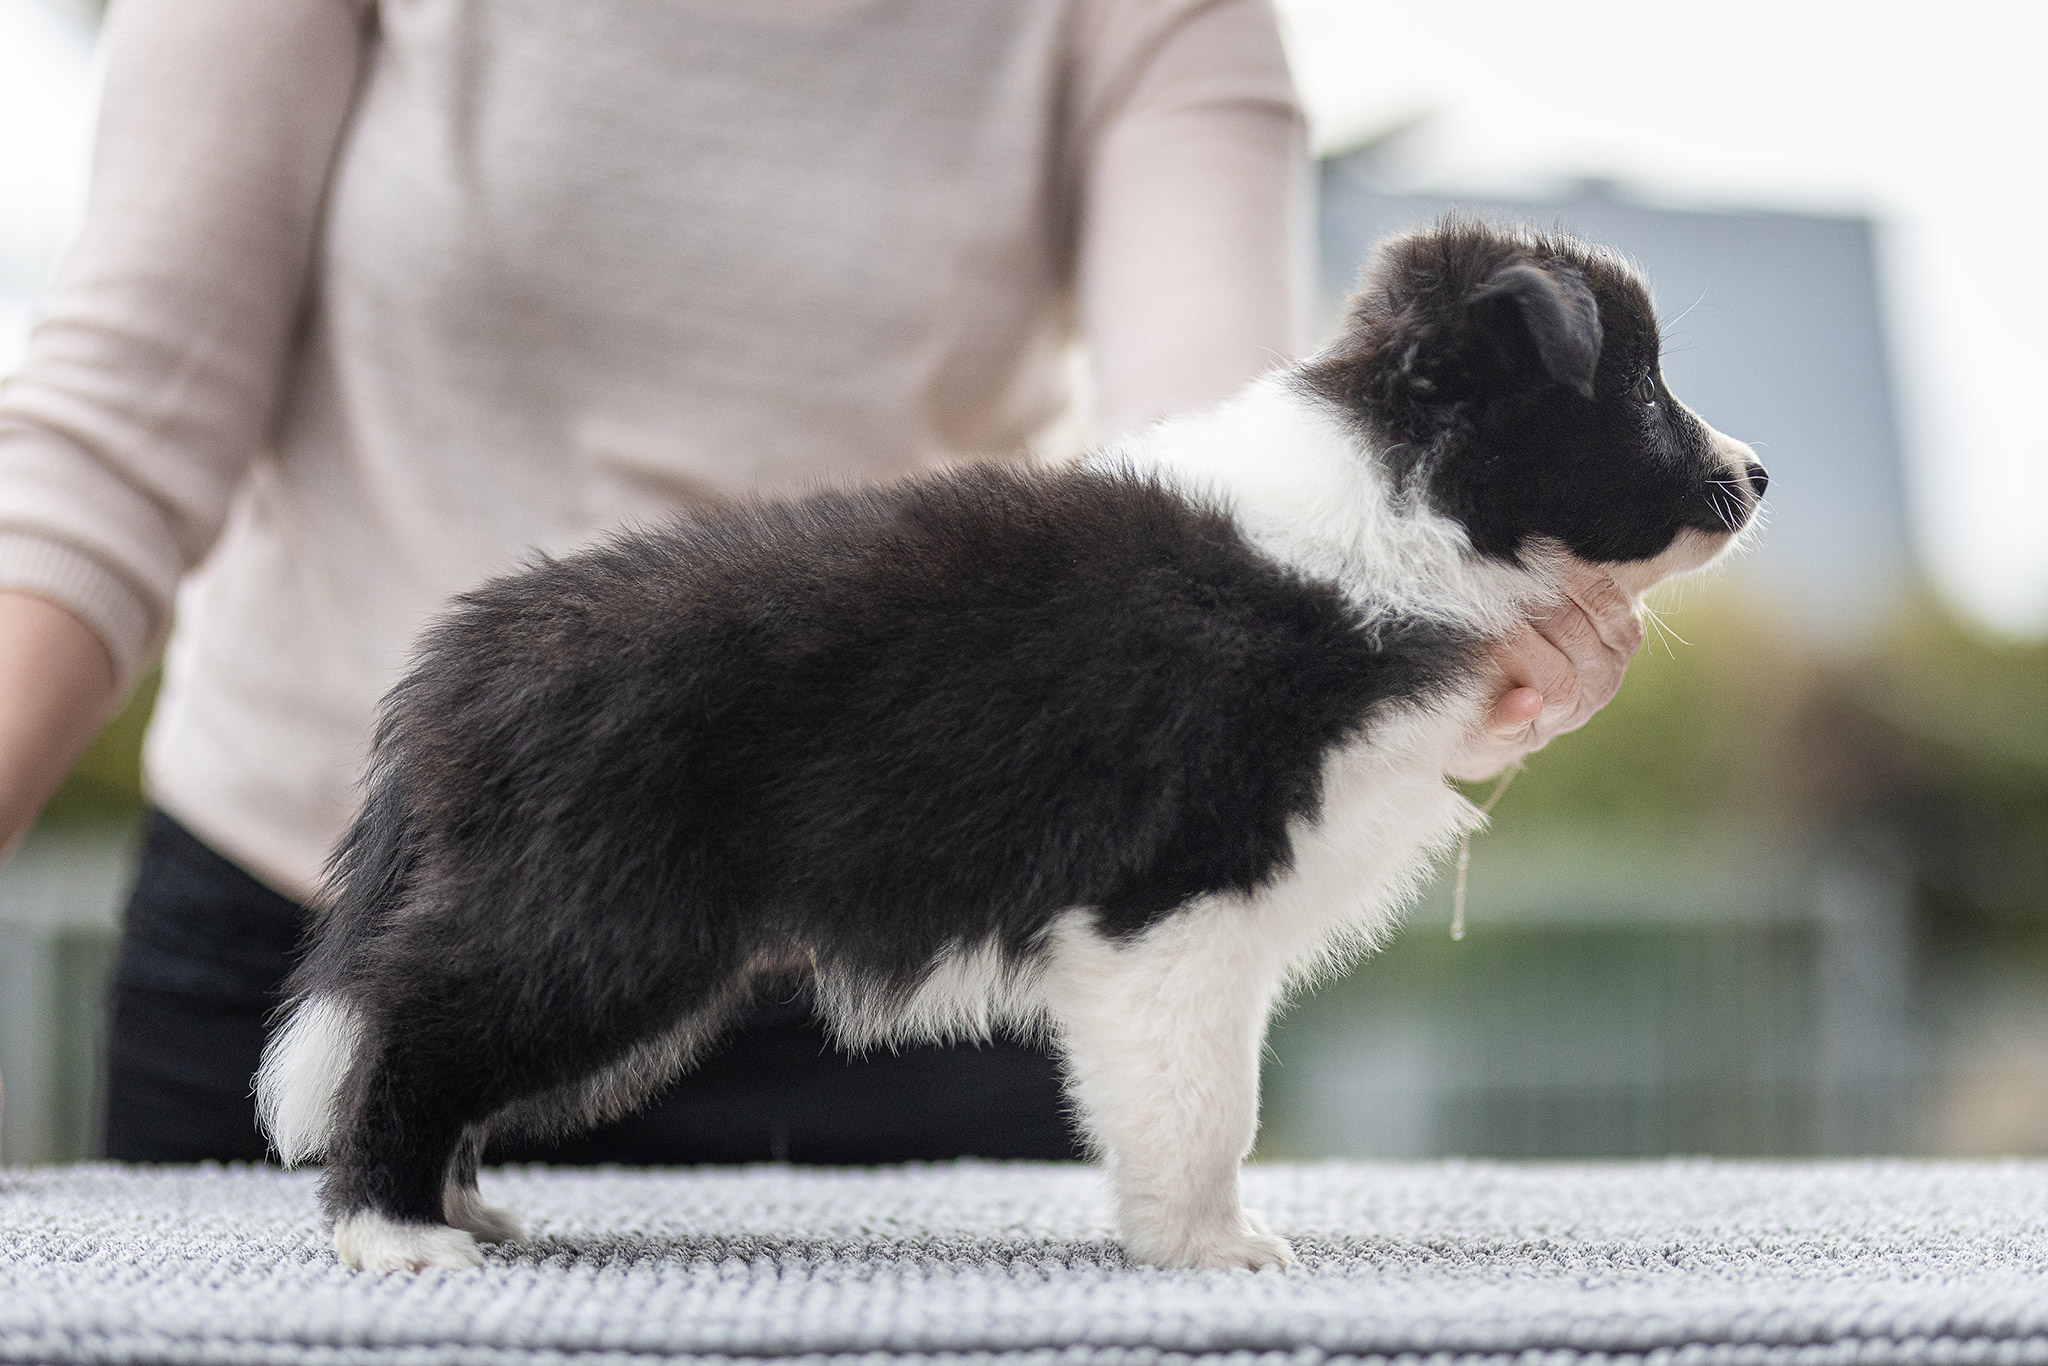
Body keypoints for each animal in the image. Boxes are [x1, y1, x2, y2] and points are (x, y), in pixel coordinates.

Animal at [256, 219, 1761, 1277]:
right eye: (1636, 391)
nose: (1753, 477)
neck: (1397, 503)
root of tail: (465, 661)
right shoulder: (1179, 893)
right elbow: (1205, 1100)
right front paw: (1210, 1246)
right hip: (605, 918)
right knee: (413, 1020)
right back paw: (395, 1225)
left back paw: (458, 1203)